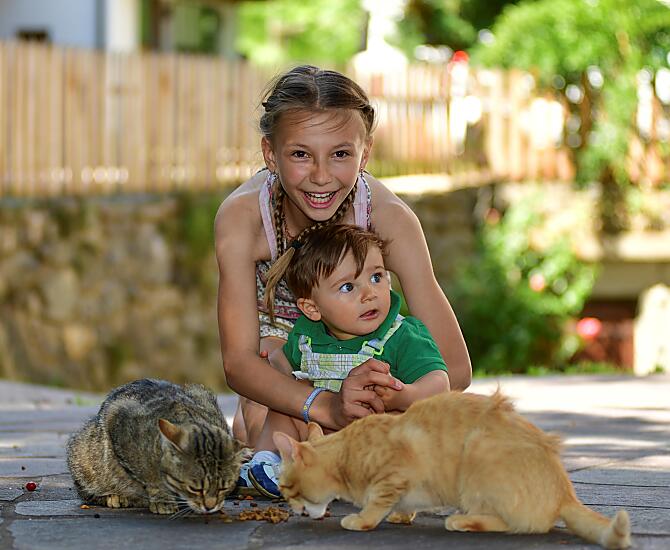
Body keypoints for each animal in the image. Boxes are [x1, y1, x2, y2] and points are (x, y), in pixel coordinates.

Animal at [67, 378, 248, 515]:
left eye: (224, 487)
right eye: (194, 488)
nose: (210, 507)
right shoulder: (118, 416)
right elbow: (150, 476)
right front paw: (162, 498)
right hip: (83, 455)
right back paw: (115, 497)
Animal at [273, 390, 631, 550]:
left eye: (287, 489)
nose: (293, 509)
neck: (345, 452)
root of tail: (565, 493)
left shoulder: (393, 475)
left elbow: (376, 504)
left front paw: (361, 519)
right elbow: (402, 505)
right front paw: (402, 515)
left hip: (478, 454)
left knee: (513, 524)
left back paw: (461, 521)